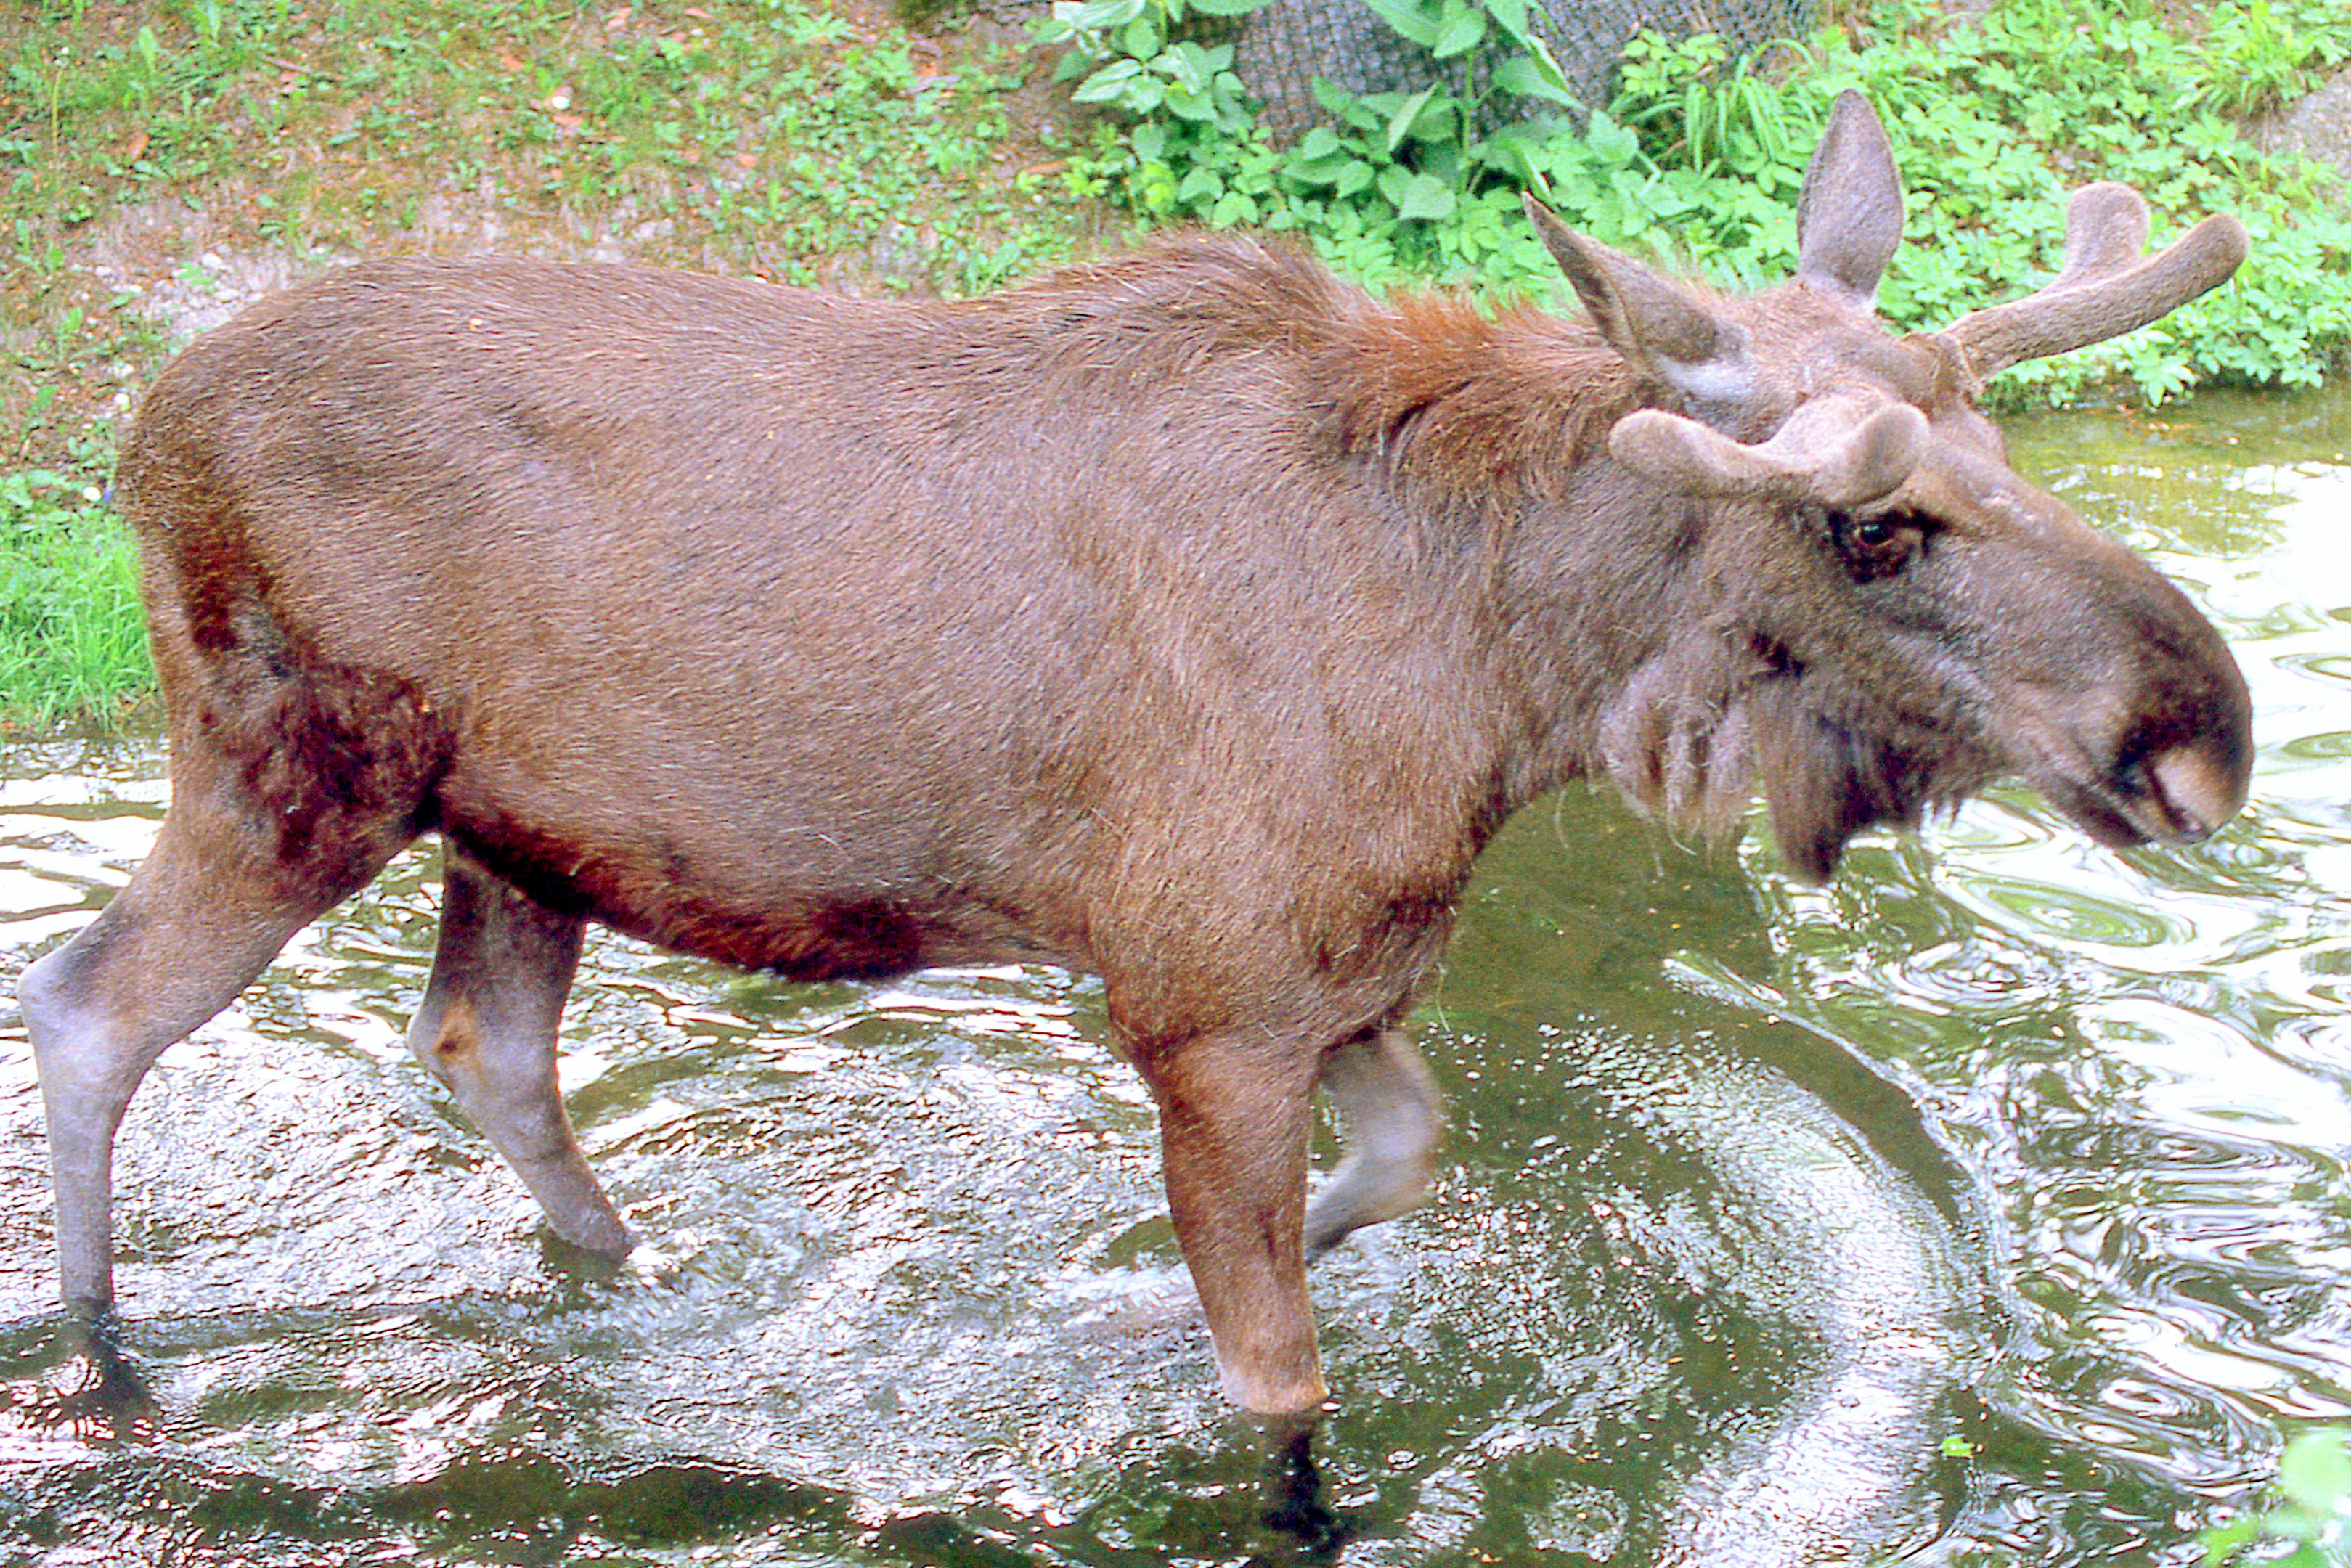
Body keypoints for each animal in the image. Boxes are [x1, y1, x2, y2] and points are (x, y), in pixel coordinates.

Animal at [19, 93, 2251, 1416]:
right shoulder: (1205, 999)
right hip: (293, 758)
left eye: (1993, 445)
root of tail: (133, 430)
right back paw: (106, 1348)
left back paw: (632, 1280)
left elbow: (1405, 1159)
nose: (2196, 734)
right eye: (1873, 523)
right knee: (86, 999)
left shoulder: (1330, 978)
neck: (1497, 684)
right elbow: (1285, 1391)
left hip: (513, 831)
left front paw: (1090, 1289)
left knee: (482, 1053)